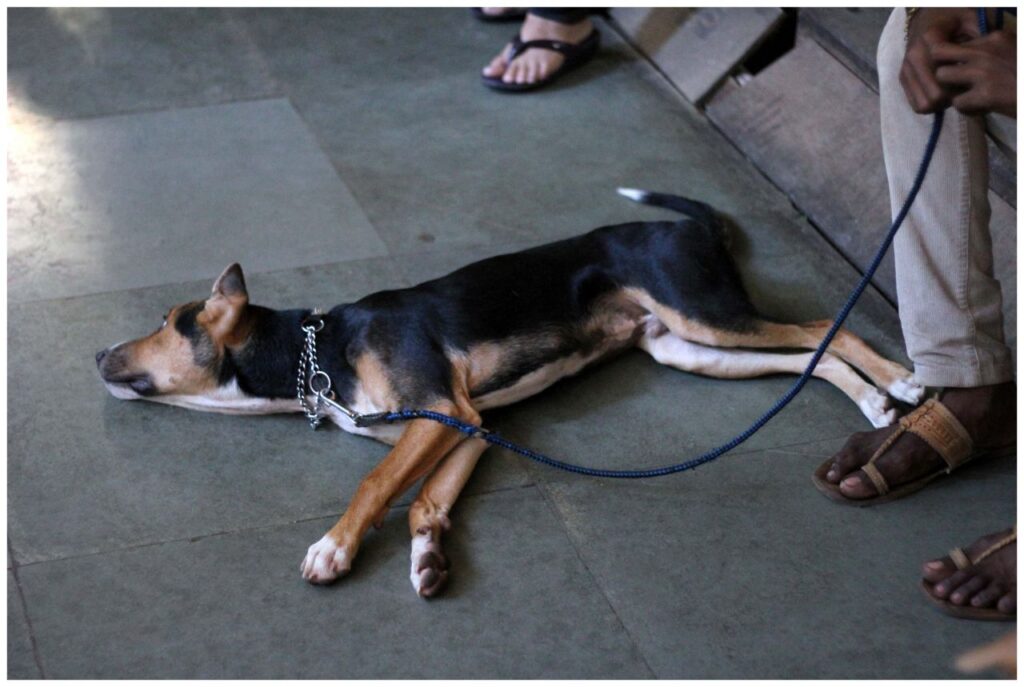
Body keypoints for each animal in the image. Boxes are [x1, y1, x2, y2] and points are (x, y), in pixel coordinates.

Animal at [97, 190, 929, 597]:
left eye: (165, 320)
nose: (98, 352)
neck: (320, 353)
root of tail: (689, 228)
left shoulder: (440, 412)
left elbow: (376, 483)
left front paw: (333, 548)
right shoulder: (464, 423)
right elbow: (426, 500)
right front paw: (429, 557)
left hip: (704, 312)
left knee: (823, 325)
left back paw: (901, 381)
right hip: (687, 347)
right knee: (809, 356)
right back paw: (876, 404)